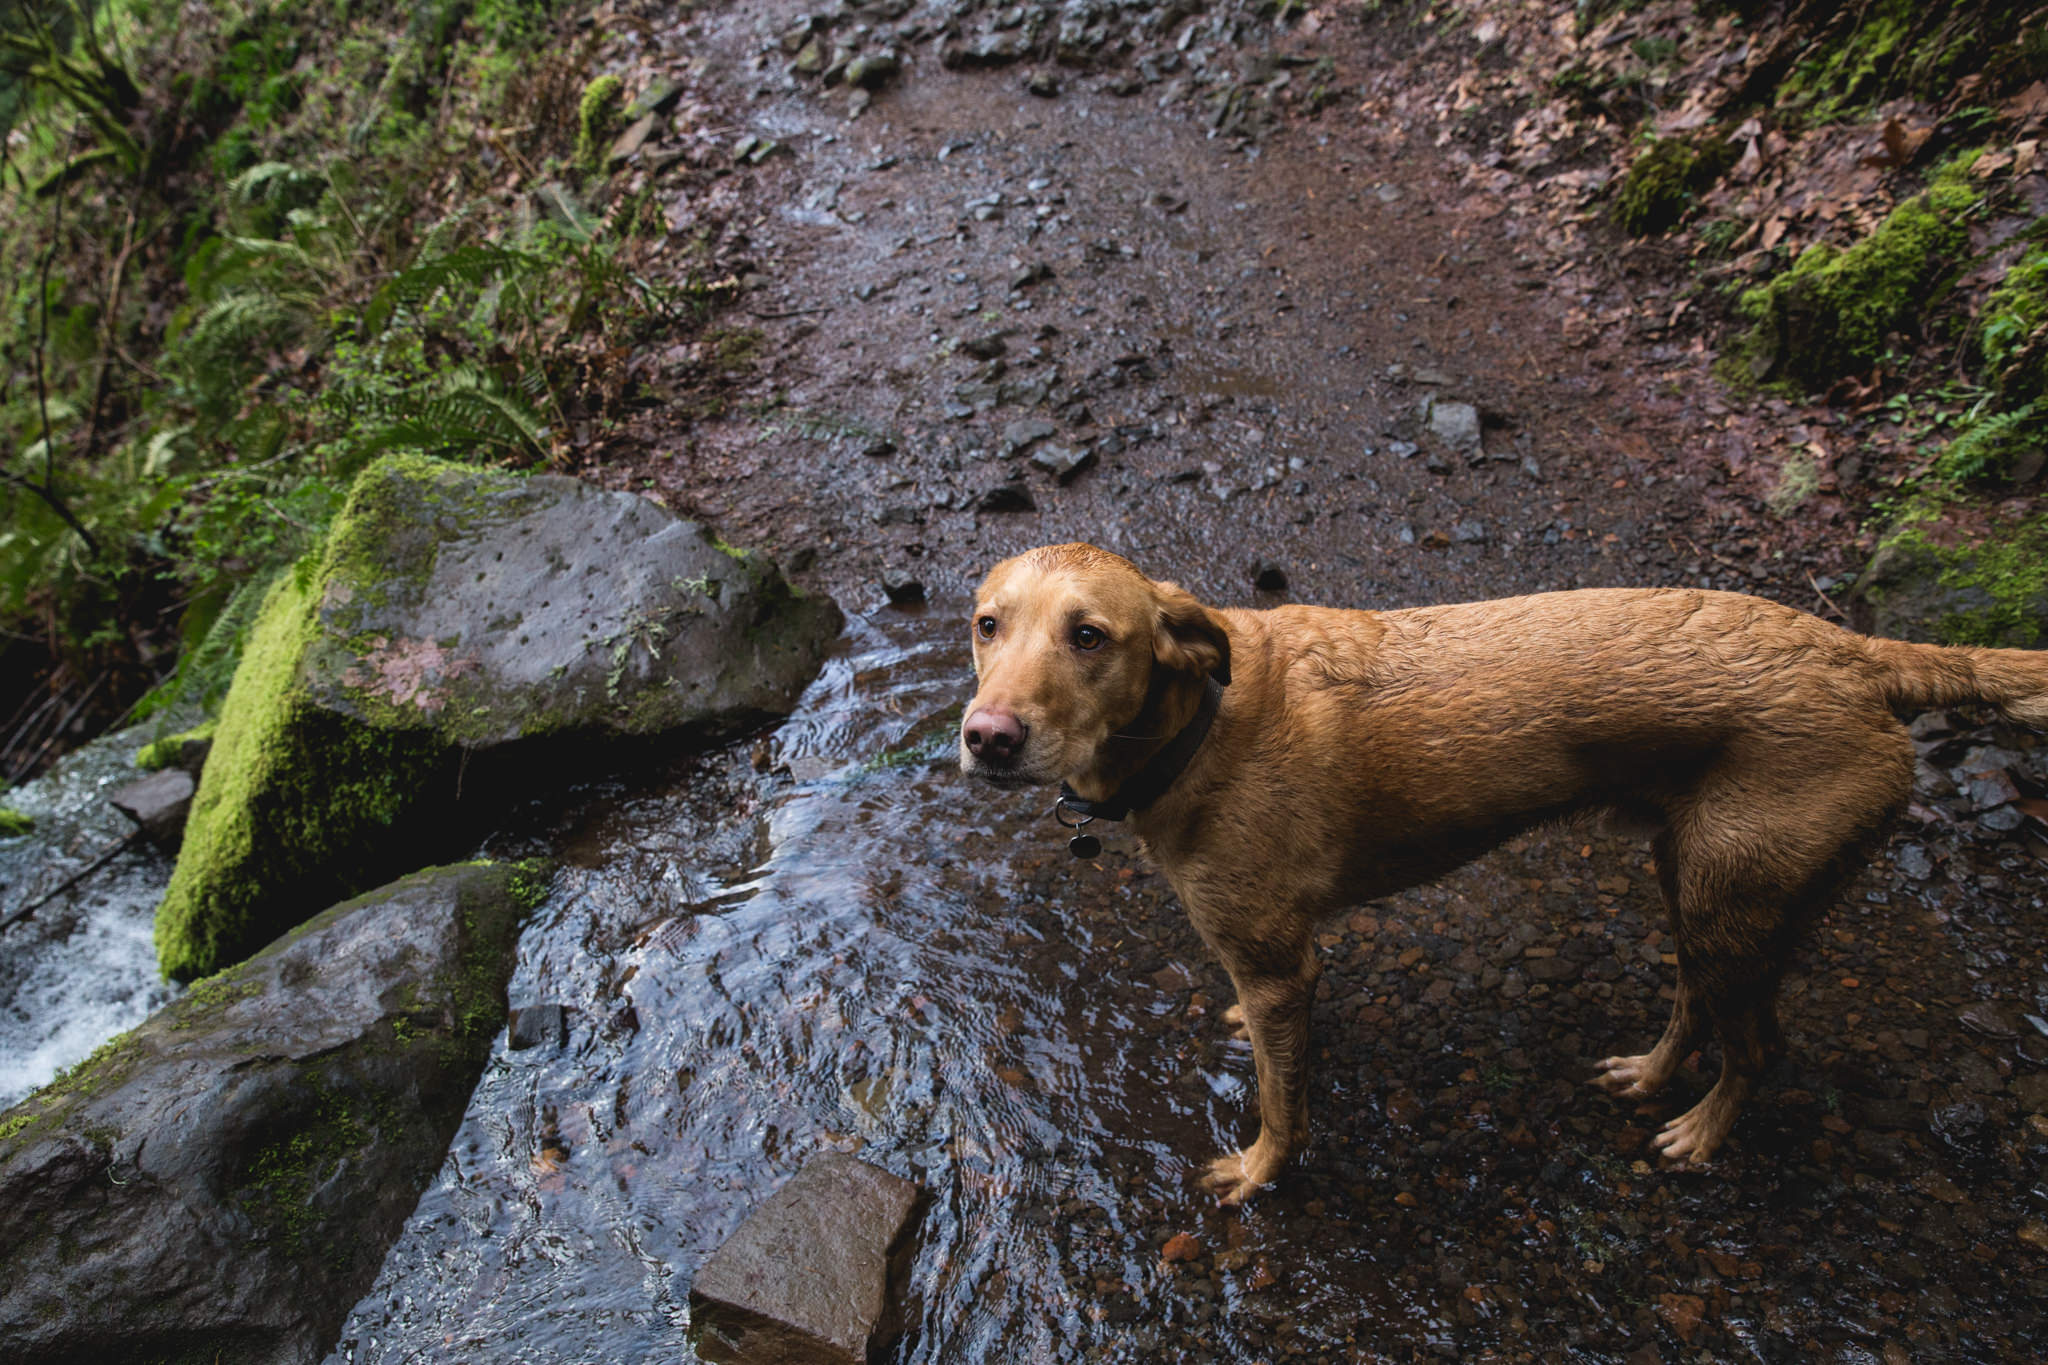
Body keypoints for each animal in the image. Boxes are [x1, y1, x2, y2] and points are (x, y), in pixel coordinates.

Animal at [958, 544, 2048, 1203]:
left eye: (1089, 635)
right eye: (985, 624)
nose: (986, 738)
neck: (1197, 730)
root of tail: (1859, 654)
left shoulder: (1279, 967)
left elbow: (1280, 1099)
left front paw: (1263, 1172)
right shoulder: (1267, 966)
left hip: (1737, 901)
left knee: (1758, 1046)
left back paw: (1699, 1134)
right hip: (1694, 880)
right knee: (1692, 1004)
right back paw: (1649, 1076)